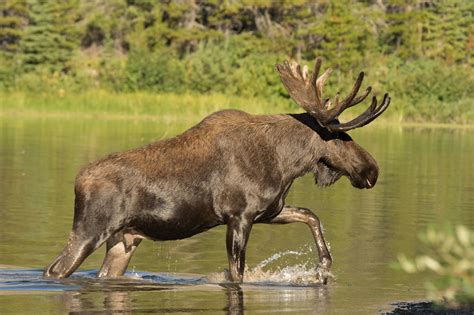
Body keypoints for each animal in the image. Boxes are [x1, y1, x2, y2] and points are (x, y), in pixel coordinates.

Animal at [44, 58, 390, 284]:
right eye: (342, 137)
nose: (372, 171)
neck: (287, 164)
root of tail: (77, 181)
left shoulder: (269, 210)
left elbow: (311, 215)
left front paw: (323, 267)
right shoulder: (239, 216)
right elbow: (237, 274)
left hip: (123, 239)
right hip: (90, 230)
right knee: (54, 270)